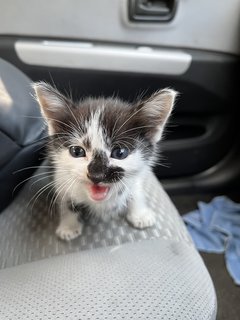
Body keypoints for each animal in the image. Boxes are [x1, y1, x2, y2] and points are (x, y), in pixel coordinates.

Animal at [33, 82, 176, 240]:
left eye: (120, 153)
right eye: (77, 152)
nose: (96, 175)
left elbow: (135, 188)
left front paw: (139, 213)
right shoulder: (60, 174)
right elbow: (65, 198)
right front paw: (69, 225)